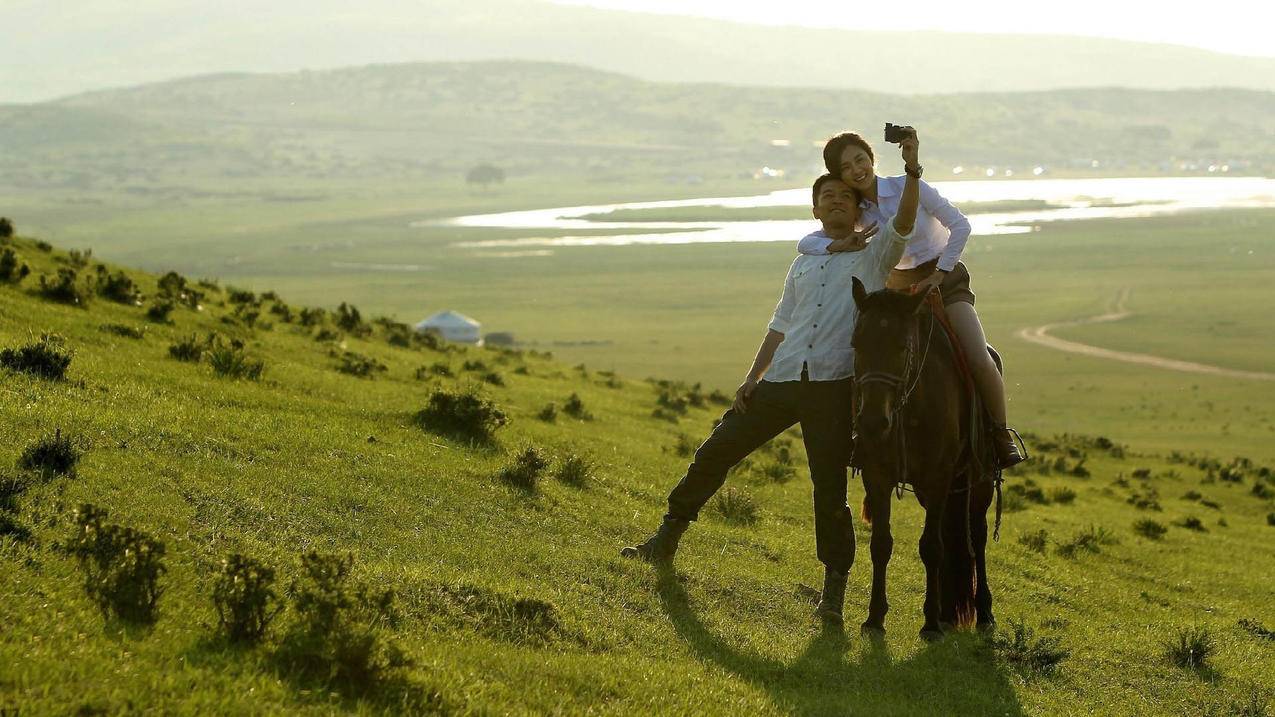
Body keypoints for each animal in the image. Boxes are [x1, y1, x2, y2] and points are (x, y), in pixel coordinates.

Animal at [851, 276, 999, 637]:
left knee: (977, 536)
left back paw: (983, 613)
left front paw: (930, 624)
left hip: (980, 481)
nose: (872, 422)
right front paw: (874, 617)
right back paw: (949, 612)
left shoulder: (938, 478)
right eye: (856, 345)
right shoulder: (878, 476)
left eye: (902, 347)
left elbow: (931, 547)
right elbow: (881, 544)